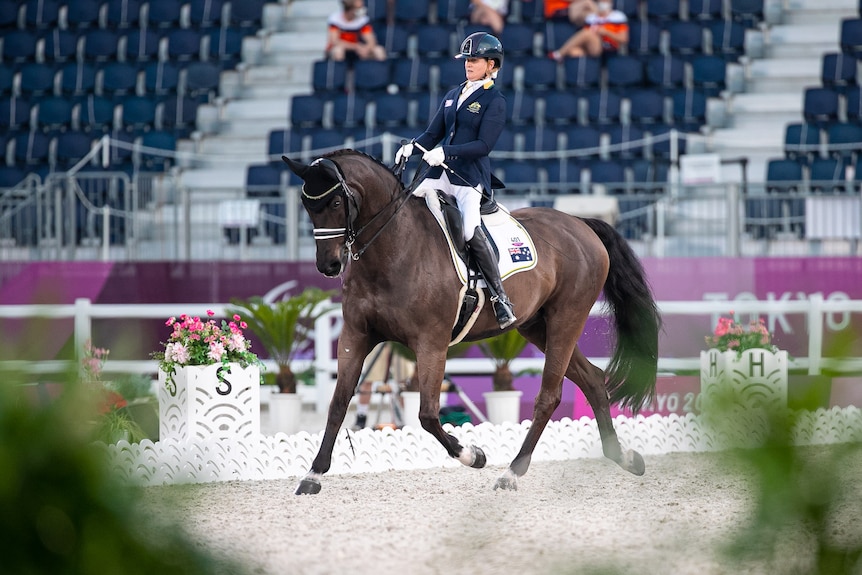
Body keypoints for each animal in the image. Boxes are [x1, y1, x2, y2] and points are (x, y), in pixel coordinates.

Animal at [284, 150, 660, 496]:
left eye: (335, 201)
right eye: (306, 205)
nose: (328, 265)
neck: (393, 249)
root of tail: (580, 223)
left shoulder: (431, 343)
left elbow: (428, 414)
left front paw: (474, 455)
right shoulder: (356, 335)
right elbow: (338, 403)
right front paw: (313, 474)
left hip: (567, 317)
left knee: (549, 396)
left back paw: (512, 472)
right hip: (536, 326)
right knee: (593, 379)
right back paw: (624, 458)